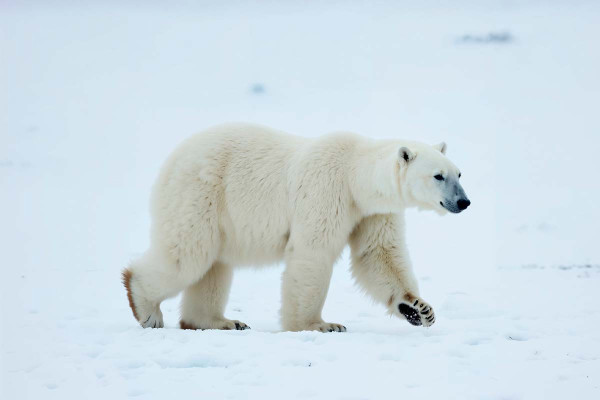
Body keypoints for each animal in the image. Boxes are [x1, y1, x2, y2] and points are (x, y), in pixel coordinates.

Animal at [120, 123, 468, 332]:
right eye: (438, 176)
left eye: (459, 173)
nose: (463, 202)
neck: (355, 174)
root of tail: (173, 159)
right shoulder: (327, 189)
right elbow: (313, 253)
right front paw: (319, 325)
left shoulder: (372, 212)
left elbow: (378, 254)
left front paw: (419, 309)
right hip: (201, 192)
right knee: (189, 253)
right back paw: (145, 306)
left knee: (213, 266)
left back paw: (220, 321)